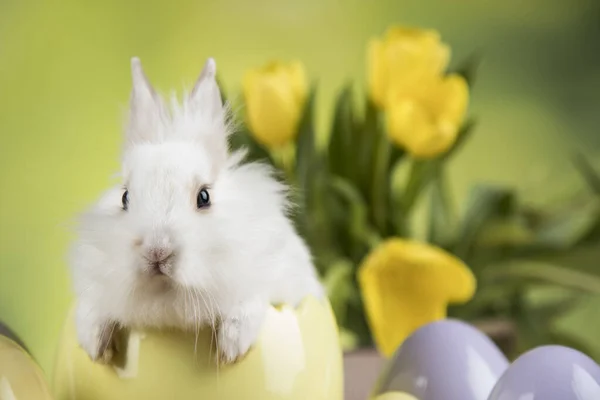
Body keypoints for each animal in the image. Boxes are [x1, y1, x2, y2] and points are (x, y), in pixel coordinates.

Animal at [69, 57, 324, 366]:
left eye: (204, 196)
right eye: (124, 197)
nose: (157, 252)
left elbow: (250, 304)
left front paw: (231, 349)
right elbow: (91, 309)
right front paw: (95, 347)